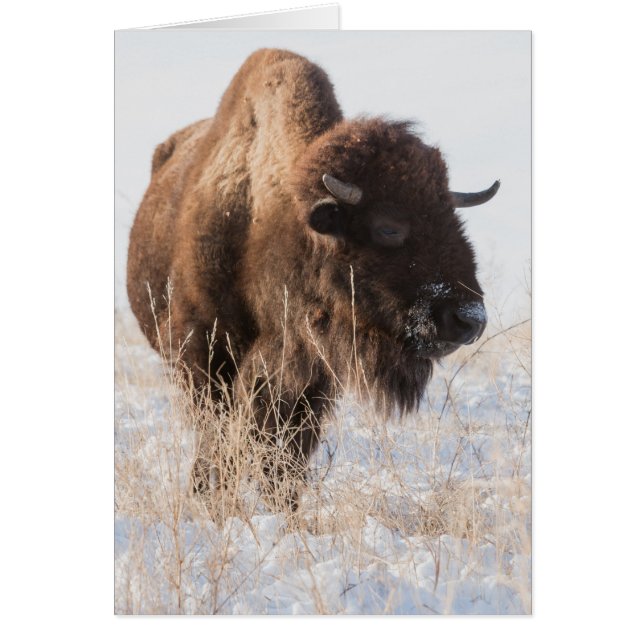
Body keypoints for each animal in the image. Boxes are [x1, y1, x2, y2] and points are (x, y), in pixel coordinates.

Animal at [127, 48, 499, 511]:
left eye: (454, 217)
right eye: (389, 227)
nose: (469, 319)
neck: (273, 219)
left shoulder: (309, 376)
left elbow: (285, 455)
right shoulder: (203, 352)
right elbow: (221, 438)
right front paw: (214, 502)